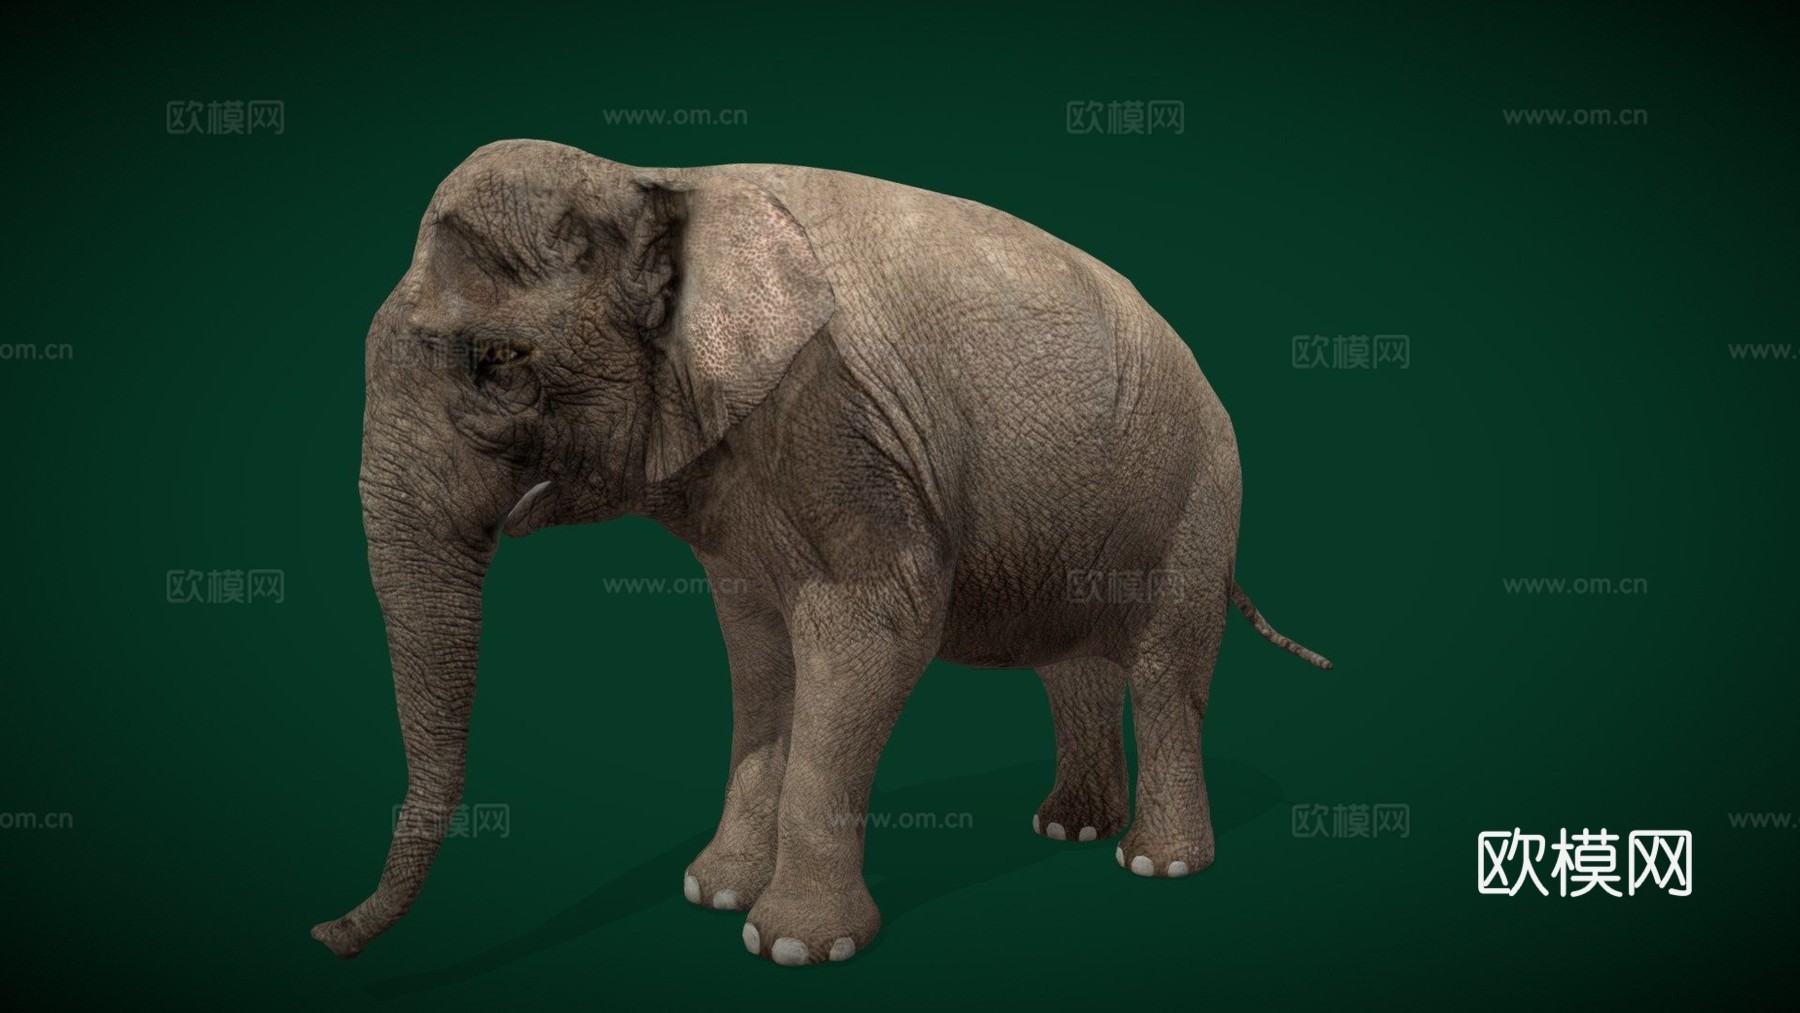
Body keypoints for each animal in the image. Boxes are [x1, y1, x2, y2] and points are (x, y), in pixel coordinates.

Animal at [312, 139, 1331, 967]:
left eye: (499, 360)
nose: (327, 934)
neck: (657, 179)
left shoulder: (843, 422)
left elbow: (877, 629)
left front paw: (793, 944)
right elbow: (759, 651)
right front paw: (713, 892)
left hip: (1200, 495)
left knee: (1165, 667)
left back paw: (1156, 863)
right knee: (1072, 662)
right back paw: (1069, 829)